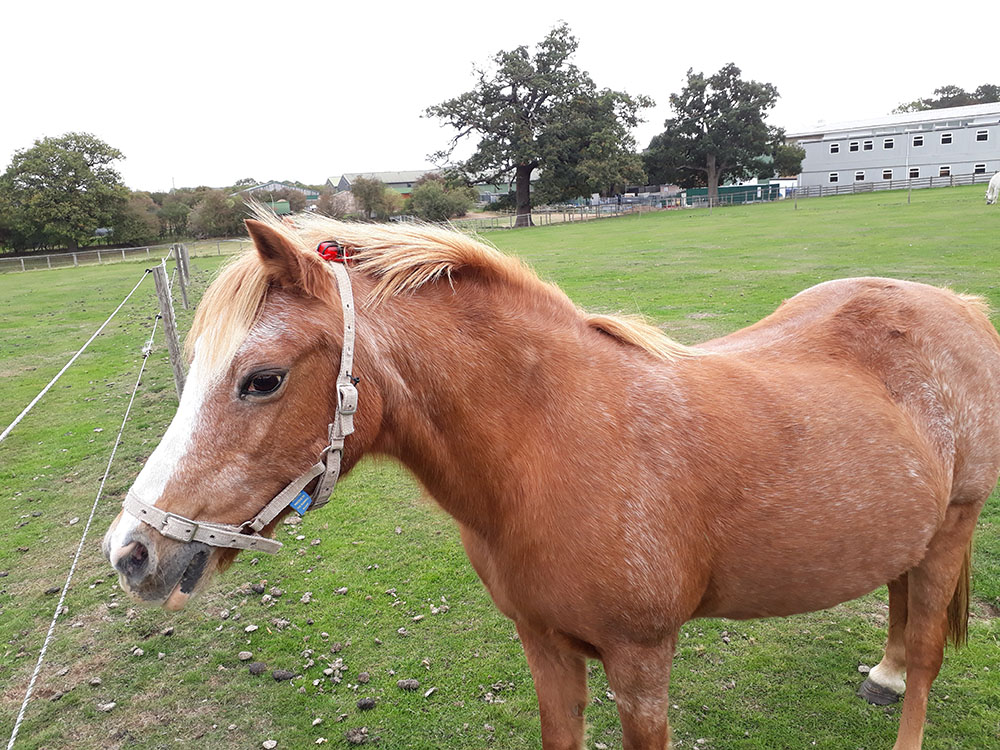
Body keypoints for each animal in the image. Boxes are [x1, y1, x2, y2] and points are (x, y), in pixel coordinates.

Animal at [103, 214, 1000, 748]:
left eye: (261, 380)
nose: (131, 552)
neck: (555, 446)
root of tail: (957, 306)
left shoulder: (641, 663)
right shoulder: (544, 648)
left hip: (955, 523)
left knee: (927, 652)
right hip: (911, 530)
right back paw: (883, 672)